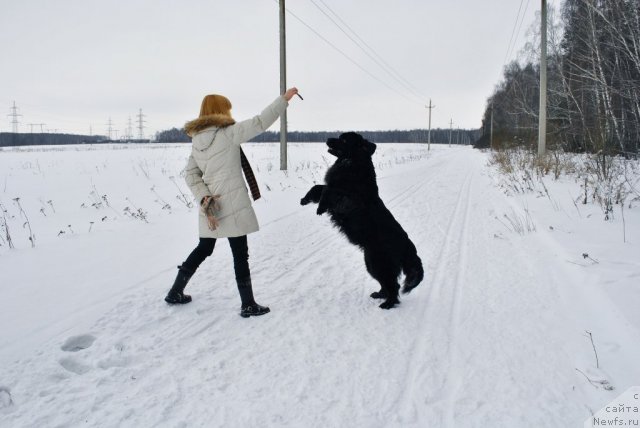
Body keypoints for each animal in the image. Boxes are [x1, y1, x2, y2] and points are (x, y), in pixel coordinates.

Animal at [302, 131, 424, 308]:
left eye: (344, 139)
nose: (328, 139)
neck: (352, 164)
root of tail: (408, 248)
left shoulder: (345, 198)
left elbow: (327, 190)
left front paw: (320, 208)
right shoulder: (333, 184)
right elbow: (319, 187)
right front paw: (305, 199)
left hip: (380, 263)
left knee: (393, 285)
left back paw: (388, 304)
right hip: (371, 262)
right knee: (386, 284)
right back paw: (379, 295)